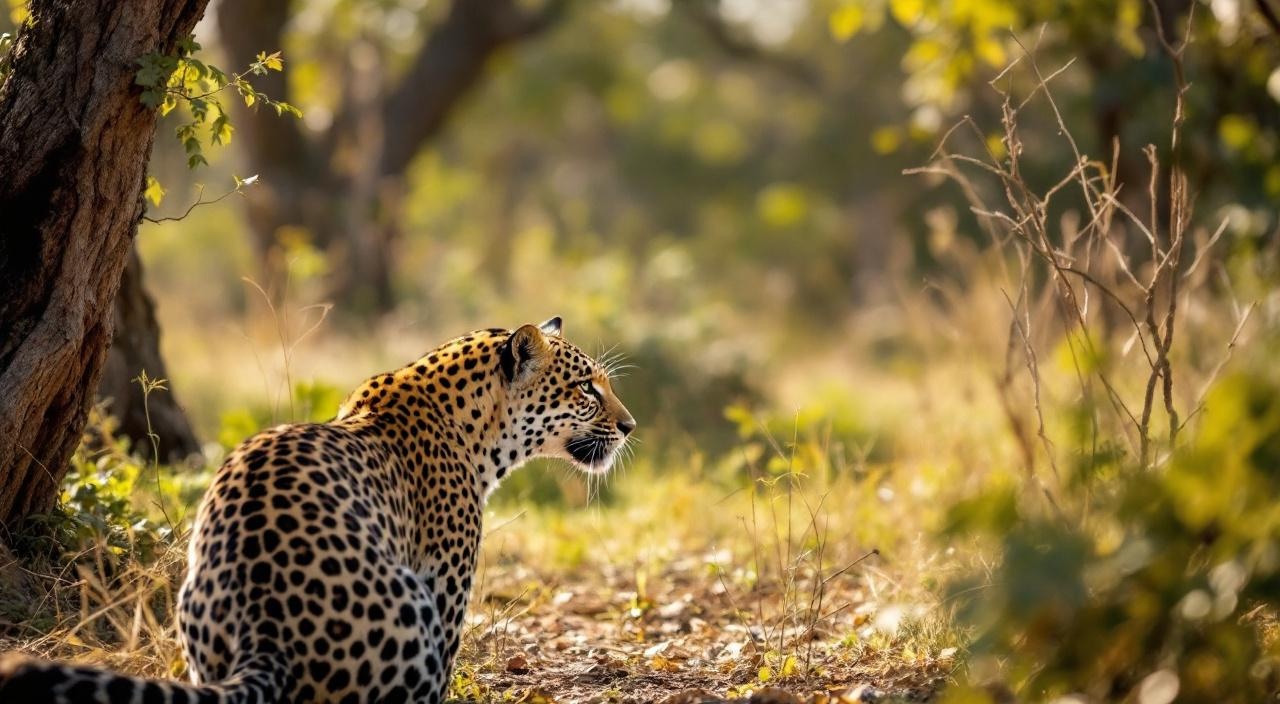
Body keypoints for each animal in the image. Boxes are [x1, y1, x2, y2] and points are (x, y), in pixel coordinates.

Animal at [0, 317, 635, 703]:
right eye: (587, 389)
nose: (629, 426)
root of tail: (267, 625)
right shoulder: (446, 590)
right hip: (413, 607)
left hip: (193, 612)